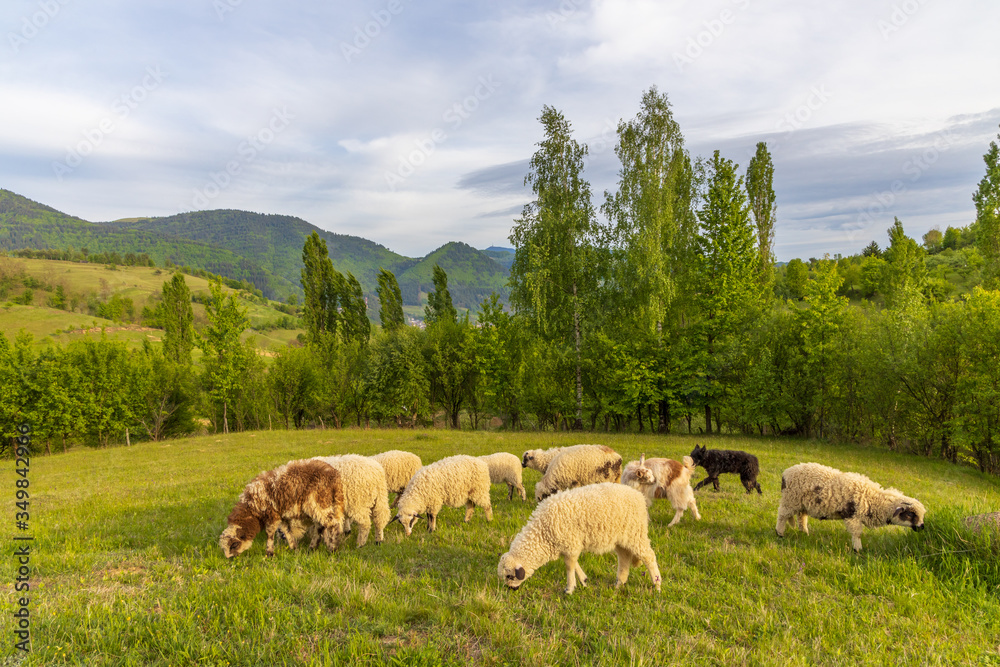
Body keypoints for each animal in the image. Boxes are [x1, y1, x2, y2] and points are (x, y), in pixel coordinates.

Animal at [497, 483, 662, 595]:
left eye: (510, 575)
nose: (510, 589)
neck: (543, 532)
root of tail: (639, 496)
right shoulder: (569, 544)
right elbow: (573, 563)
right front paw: (583, 580)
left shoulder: (570, 542)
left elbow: (569, 566)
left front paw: (569, 589)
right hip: (622, 539)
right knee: (624, 558)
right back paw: (619, 584)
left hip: (636, 534)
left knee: (649, 556)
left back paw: (657, 584)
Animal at [775, 462, 926, 552]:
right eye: (910, 514)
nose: (922, 527)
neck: (873, 498)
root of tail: (786, 473)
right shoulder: (852, 516)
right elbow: (857, 533)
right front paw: (857, 550)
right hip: (790, 499)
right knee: (782, 515)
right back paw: (779, 533)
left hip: (801, 504)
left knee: (801, 517)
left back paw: (805, 533)